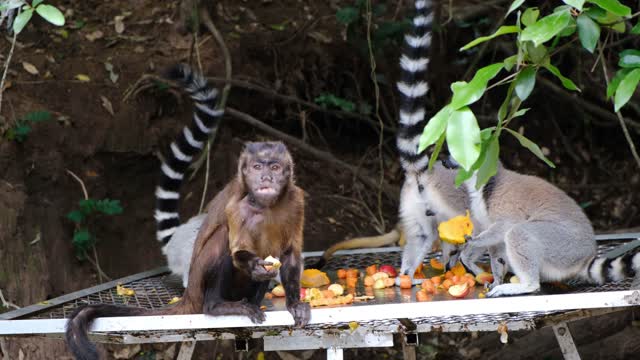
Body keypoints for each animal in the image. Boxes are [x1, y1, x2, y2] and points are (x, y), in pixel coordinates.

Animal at [65, 65, 310, 360]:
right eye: (257, 167)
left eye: (274, 168)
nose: (265, 178)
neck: (266, 204)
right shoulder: (238, 202)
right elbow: (237, 247)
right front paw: (255, 265)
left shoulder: (295, 200)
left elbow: (289, 252)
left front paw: (293, 300)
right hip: (198, 285)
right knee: (222, 240)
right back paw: (217, 305)